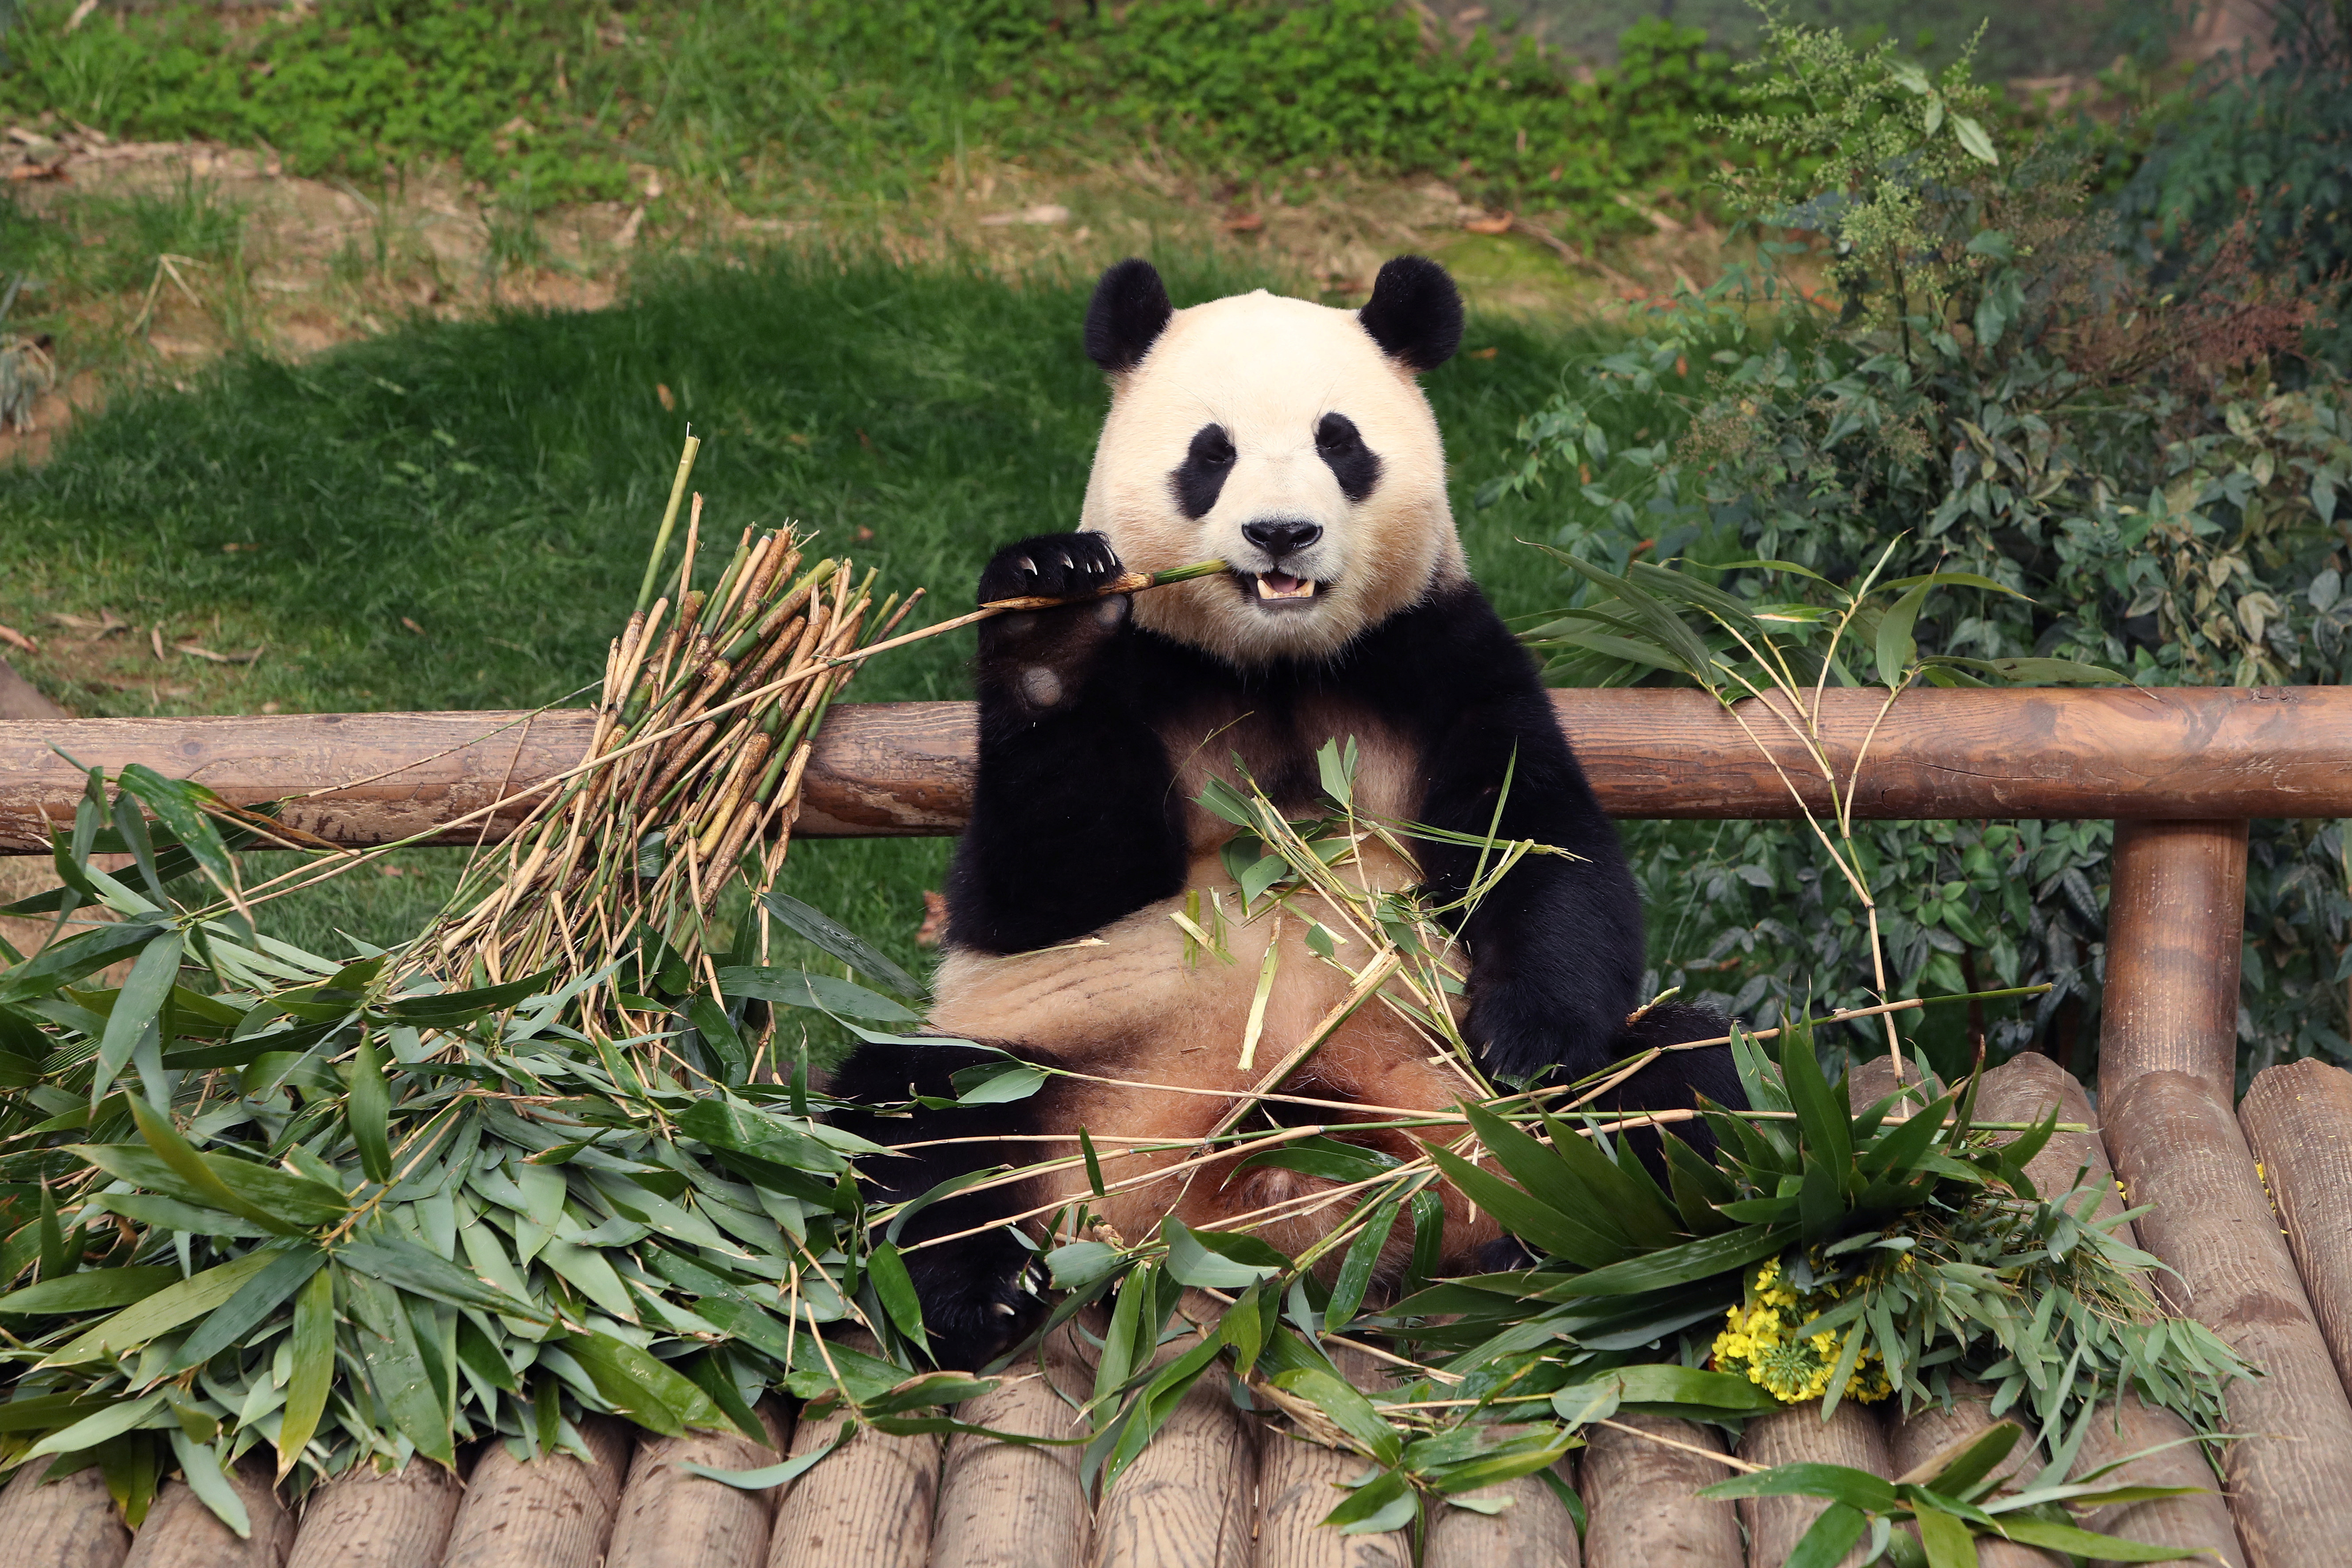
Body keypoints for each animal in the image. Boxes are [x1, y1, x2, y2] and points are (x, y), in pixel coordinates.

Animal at [831, 255, 1743, 1369]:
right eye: (1209, 453)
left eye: (1337, 442)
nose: (1281, 534)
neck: (1276, 663)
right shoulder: (1149, 675)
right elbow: (1042, 886)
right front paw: (1050, 624)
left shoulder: (1439, 655)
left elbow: (1537, 843)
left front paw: (1528, 1038)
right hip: (1055, 1076)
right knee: (920, 1124)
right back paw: (982, 1295)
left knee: (1672, 1079)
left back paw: (1583, 1257)